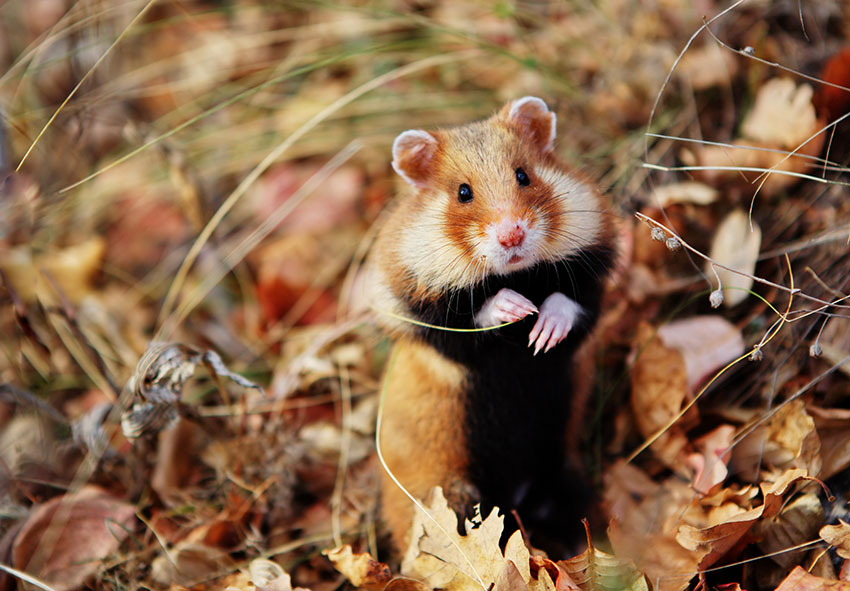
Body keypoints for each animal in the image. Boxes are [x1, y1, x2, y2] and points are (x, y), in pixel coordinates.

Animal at [372, 97, 616, 560]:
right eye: (462, 193)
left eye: (524, 174)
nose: (512, 236)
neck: (521, 275)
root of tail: (517, 495)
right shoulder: (428, 324)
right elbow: (468, 320)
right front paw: (513, 306)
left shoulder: (593, 285)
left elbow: (570, 305)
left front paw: (542, 332)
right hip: (454, 495)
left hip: (563, 478)